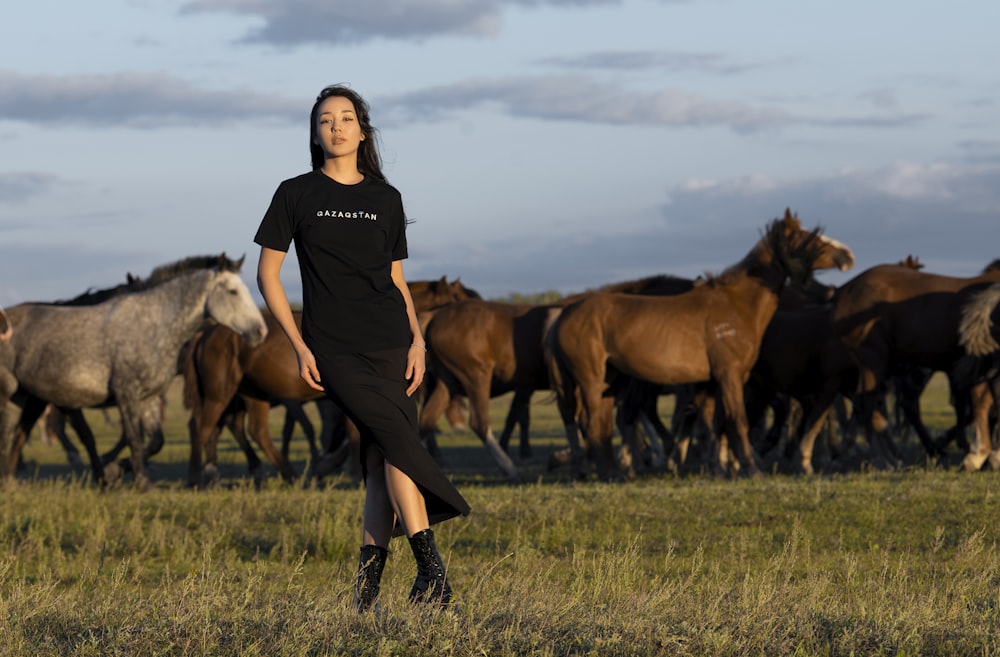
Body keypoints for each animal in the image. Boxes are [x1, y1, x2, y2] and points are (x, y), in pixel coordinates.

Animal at [0, 256, 268, 486]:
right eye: (233, 291)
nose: (260, 330)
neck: (151, 325)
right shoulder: (111, 395)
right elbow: (109, 436)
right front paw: (116, 474)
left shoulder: (144, 397)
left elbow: (151, 440)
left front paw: (115, 469)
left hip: (26, 397)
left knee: (21, 430)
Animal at [544, 209, 856, 476]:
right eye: (808, 237)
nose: (848, 255)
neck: (737, 305)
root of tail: (563, 314)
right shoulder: (729, 376)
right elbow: (738, 421)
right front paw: (750, 469)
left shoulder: (718, 382)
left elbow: (718, 424)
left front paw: (722, 468)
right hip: (591, 381)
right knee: (593, 423)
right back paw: (610, 473)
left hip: (610, 381)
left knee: (605, 423)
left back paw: (612, 470)